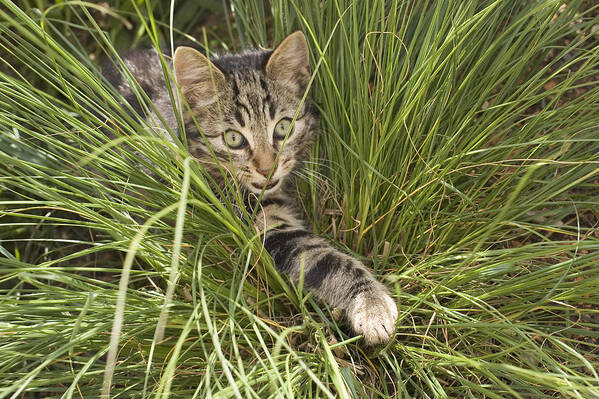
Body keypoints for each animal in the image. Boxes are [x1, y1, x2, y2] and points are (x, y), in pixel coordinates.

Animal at [104, 31, 398, 346]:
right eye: (233, 139)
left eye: (283, 128)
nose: (267, 168)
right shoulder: (264, 228)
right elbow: (326, 260)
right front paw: (371, 304)